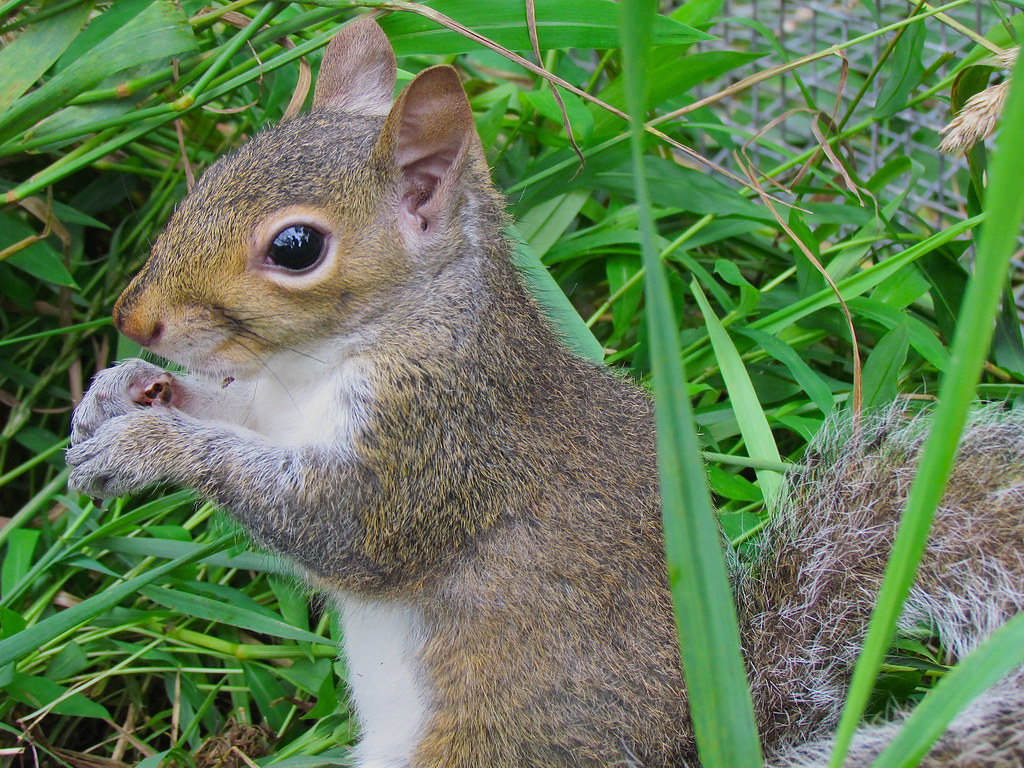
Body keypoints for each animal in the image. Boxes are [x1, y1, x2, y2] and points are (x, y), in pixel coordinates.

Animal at [66, 17, 1024, 768]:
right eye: (215, 173)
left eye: (296, 247)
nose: (131, 317)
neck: (330, 358)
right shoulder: (275, 403)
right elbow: (226, 411)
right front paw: (120, 392)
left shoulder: (436, 440)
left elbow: (335, 526)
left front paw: (147, 447)